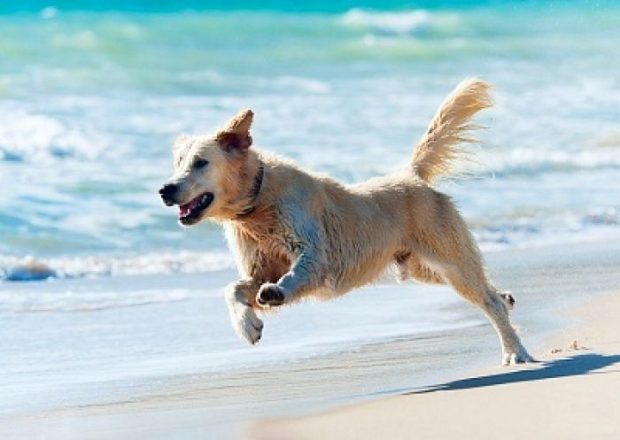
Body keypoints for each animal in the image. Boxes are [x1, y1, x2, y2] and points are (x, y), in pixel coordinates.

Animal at [160, 78, 532, 364]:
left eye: (200, 162)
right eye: (178, 163)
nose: (165, 189)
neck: (258, 200)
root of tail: (412, 175)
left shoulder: (314, 251)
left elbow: (297, 271)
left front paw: (277, 292)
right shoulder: (259, 268)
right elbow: (234, 288)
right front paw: (247, 325)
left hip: (449, 258)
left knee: (486, 300)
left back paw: (515, 351)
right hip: (421, 267)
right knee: (488, 291)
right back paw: (507, 298)